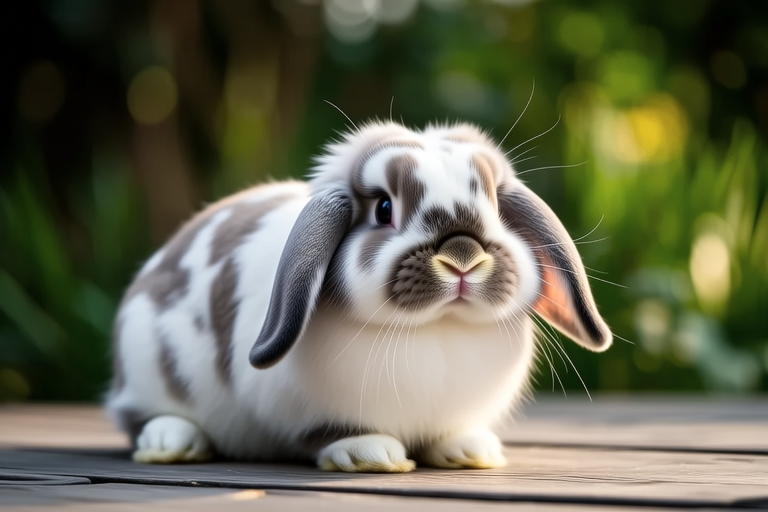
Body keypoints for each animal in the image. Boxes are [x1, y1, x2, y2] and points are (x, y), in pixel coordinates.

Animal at [106, 120, 612, 473]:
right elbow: (329, 434)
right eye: (384, 208)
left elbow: (451, 434)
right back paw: (170, 442)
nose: (463, 255)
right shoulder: (298, 411)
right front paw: (371, 454)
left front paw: (471, 449)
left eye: (497, 210)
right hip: (145, 363)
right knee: (138, 417)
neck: (436, 330)